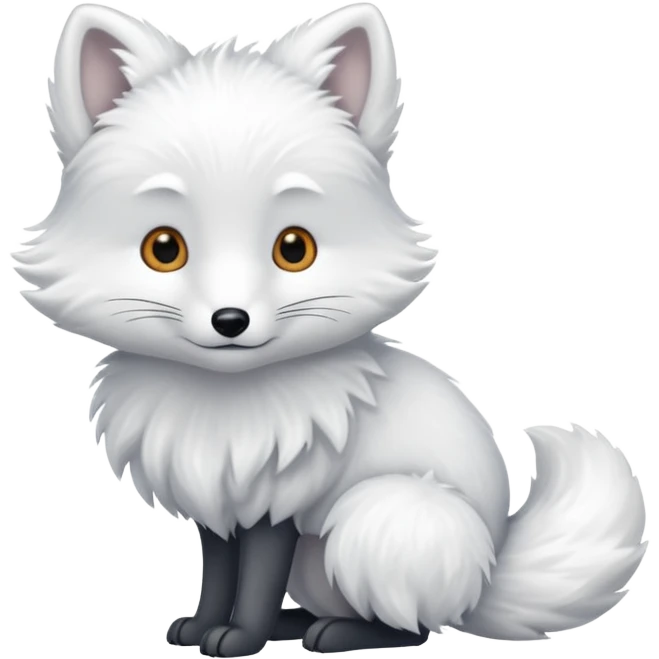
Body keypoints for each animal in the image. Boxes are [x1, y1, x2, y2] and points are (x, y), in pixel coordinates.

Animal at [13, 2, 647, 656]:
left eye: (294, 249)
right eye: (164, 248)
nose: (230, 321)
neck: (224, 409)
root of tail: (489, 570)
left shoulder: (279, 505)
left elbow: (257, 579)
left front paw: (239, 636)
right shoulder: (218, 498)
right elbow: (219, 571)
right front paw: (200, 625)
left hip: (384, 515)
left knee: (412, 627)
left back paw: (334, 633)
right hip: (322, 564)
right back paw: (295, 624)